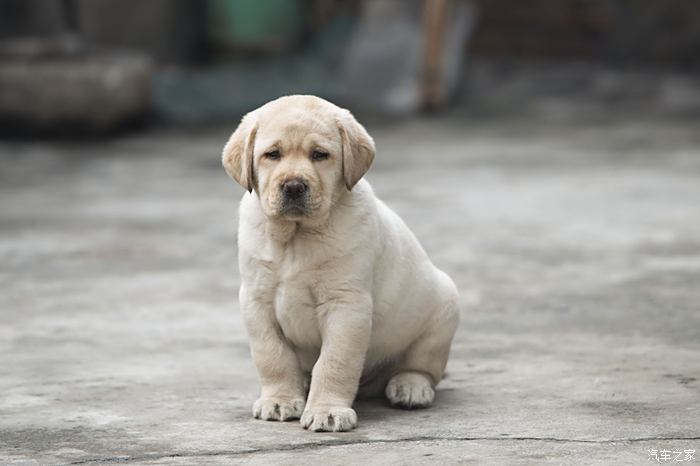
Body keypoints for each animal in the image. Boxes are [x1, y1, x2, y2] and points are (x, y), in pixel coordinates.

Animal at [223, 94, 460, 434]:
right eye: (272, 154)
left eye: (320, 155)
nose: (293, 186)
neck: (296, 237)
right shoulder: (255, 301)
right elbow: (272, 355)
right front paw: (279, 399)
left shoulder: (346, 305)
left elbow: (335, 361)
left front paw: (327, 410)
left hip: (444, 310)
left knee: (422, 367)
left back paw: (410, 387)